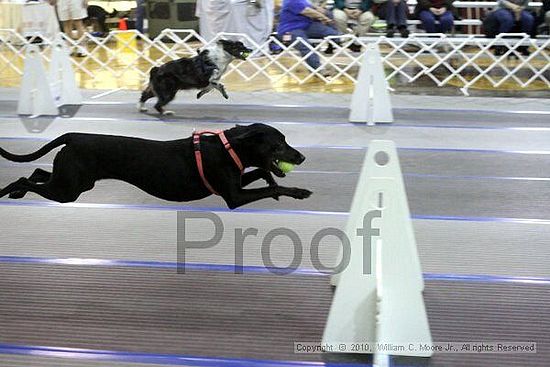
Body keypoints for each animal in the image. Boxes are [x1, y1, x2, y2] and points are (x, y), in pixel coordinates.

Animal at [0, 124, 312, 208]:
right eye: (278, 144)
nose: (301, 157)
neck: (230, 147)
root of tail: (73, 135)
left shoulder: (233, 183)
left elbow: (262, 172)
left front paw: (273, 183)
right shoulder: (233, 196)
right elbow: (272, 184)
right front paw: (297, 192)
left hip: (73, 180)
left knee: (38, 172)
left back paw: (16, 192)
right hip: (69, 189)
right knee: (25, 179)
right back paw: (10, 191)